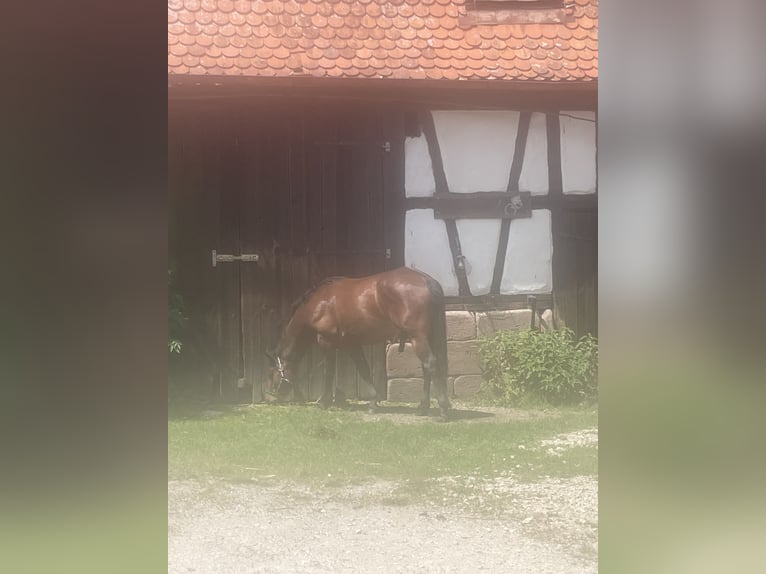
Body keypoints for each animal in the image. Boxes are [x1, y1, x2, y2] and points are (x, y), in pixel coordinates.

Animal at [265, 267, 452, 420]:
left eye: (272, 374)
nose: (270, 397)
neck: (319, 304)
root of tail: (426, 280)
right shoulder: (351, 344)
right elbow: (364, 370)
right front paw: (373, 402)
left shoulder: (326, 343)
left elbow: (328, 373)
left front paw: (324, 402)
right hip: (428, 338)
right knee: (428, 369)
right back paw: (423, 407)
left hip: (418, 338)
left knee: (431, 364)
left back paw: (442, 411)